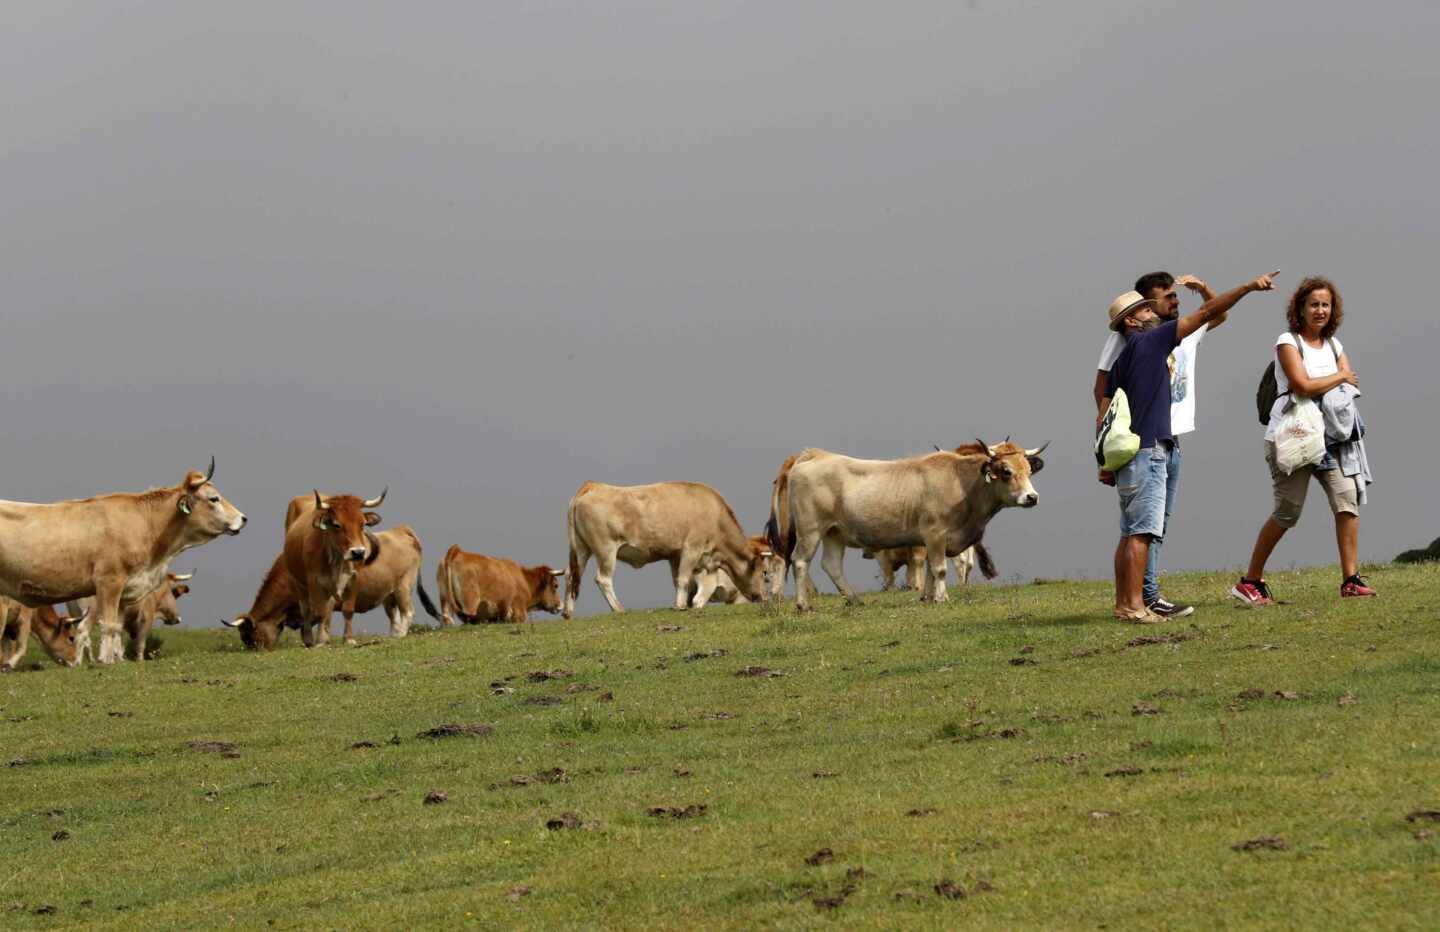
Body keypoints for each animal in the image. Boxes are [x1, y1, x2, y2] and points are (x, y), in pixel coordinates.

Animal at [0, 458, 246, 662]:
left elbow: (117, 628)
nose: (243, 518)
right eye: (214, 498)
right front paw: (105, 662)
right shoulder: (109, 582)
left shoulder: (124, 591)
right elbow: (109, 626)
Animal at [227, 524, 420, 648]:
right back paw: (393, 635)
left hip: (404, 586)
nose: (255, 651)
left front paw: (322, 641)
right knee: (394, 615)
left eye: (249, 637)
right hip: (389, 595)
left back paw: (401, 635)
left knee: (408, 611)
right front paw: (310, 642)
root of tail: (401, 529)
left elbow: (325, 618)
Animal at [414, 547, 564, 628]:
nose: (560, 605)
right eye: (556, 585)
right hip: (470, 601)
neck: (524, 580)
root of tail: (458, 551)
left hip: (445, 599)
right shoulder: (519, 612)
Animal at [558, 481, 771, 619]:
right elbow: (684, 579)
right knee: (603, 579)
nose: (763, 597)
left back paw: (568, 612)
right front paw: (680, 606)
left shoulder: (677, 556)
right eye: (764, 572)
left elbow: (684, 584)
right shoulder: (691, 549)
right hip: (606, 550)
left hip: (581, 549)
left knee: (571, 574)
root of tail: (592, 486)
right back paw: (618, 609)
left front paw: (684, 604)